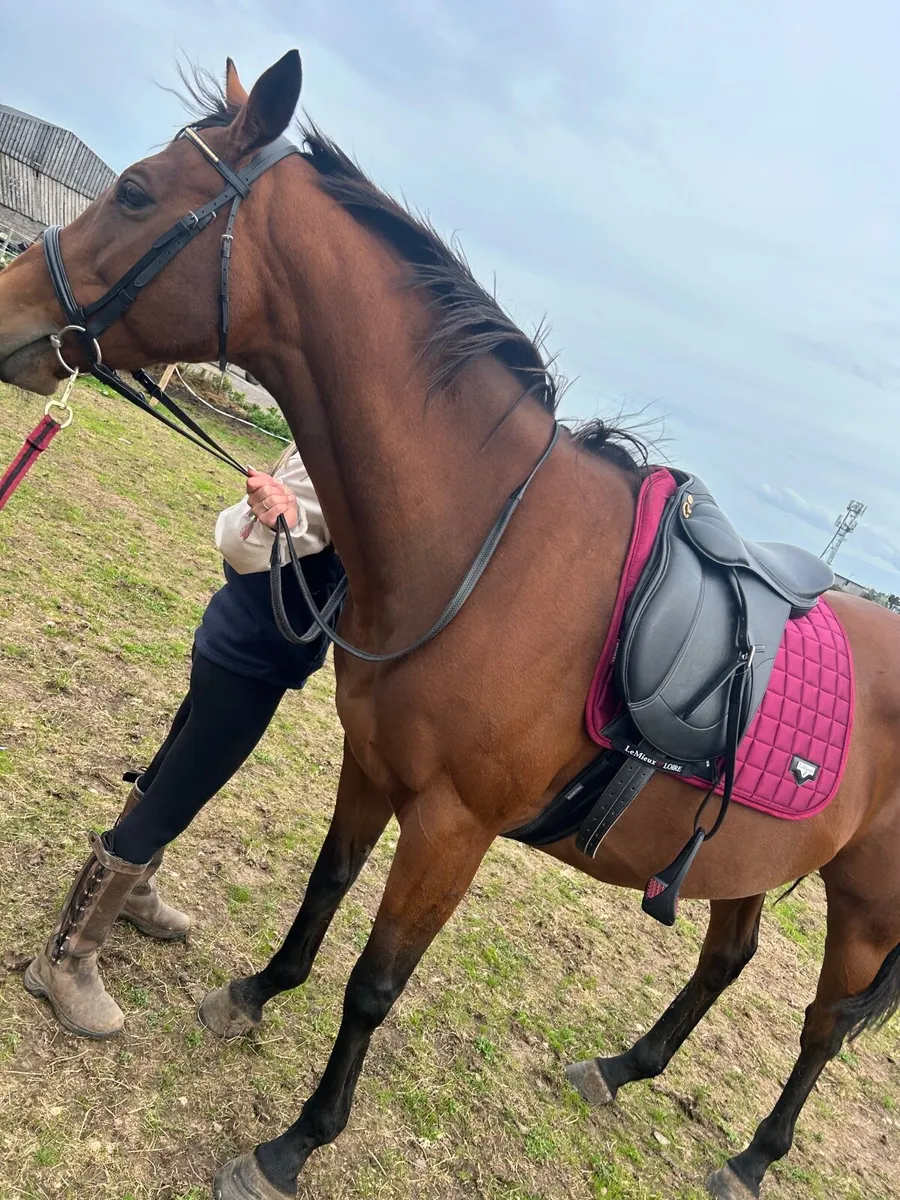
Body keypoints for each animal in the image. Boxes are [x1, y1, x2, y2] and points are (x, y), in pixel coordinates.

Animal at [0, 51, 898, 1200]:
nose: (7, 310)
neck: (486, 547)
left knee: (823, 1026)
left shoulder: (453, 826)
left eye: (137, 193)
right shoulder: (374, 764)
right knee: (726, 958)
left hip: (866, 899)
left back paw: (751, 1156)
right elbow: (326, 889)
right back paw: (623, 1068)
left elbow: (377, 982)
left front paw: (293, 1145)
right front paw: (255, 993)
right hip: (753, 849)